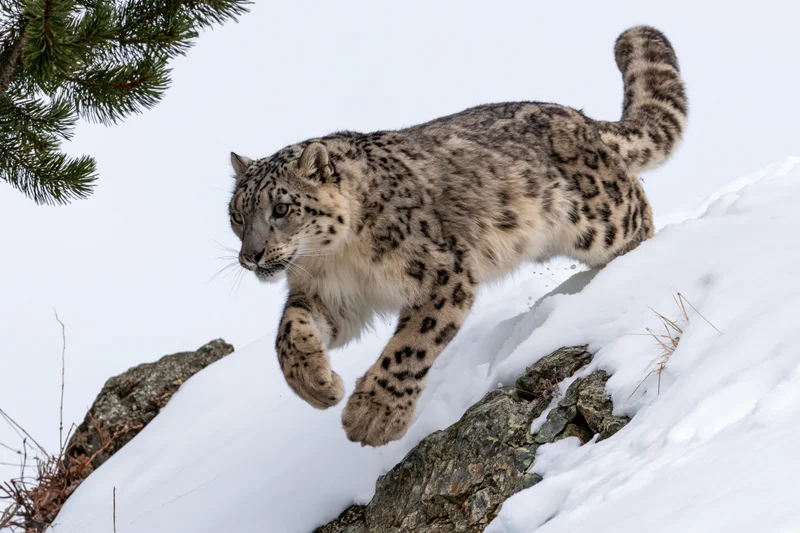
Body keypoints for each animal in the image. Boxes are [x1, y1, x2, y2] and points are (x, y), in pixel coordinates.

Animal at [226, 26, 686, 446]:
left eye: (281, 208)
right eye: (236, 215)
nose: (252, 256)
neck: (336, 259)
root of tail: (581, 118)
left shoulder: (444, 271)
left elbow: (411, 344)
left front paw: (373, 416)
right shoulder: (332, 295)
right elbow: (288, 331)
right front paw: (315, 383)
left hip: (603, 217)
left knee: (639, 216)